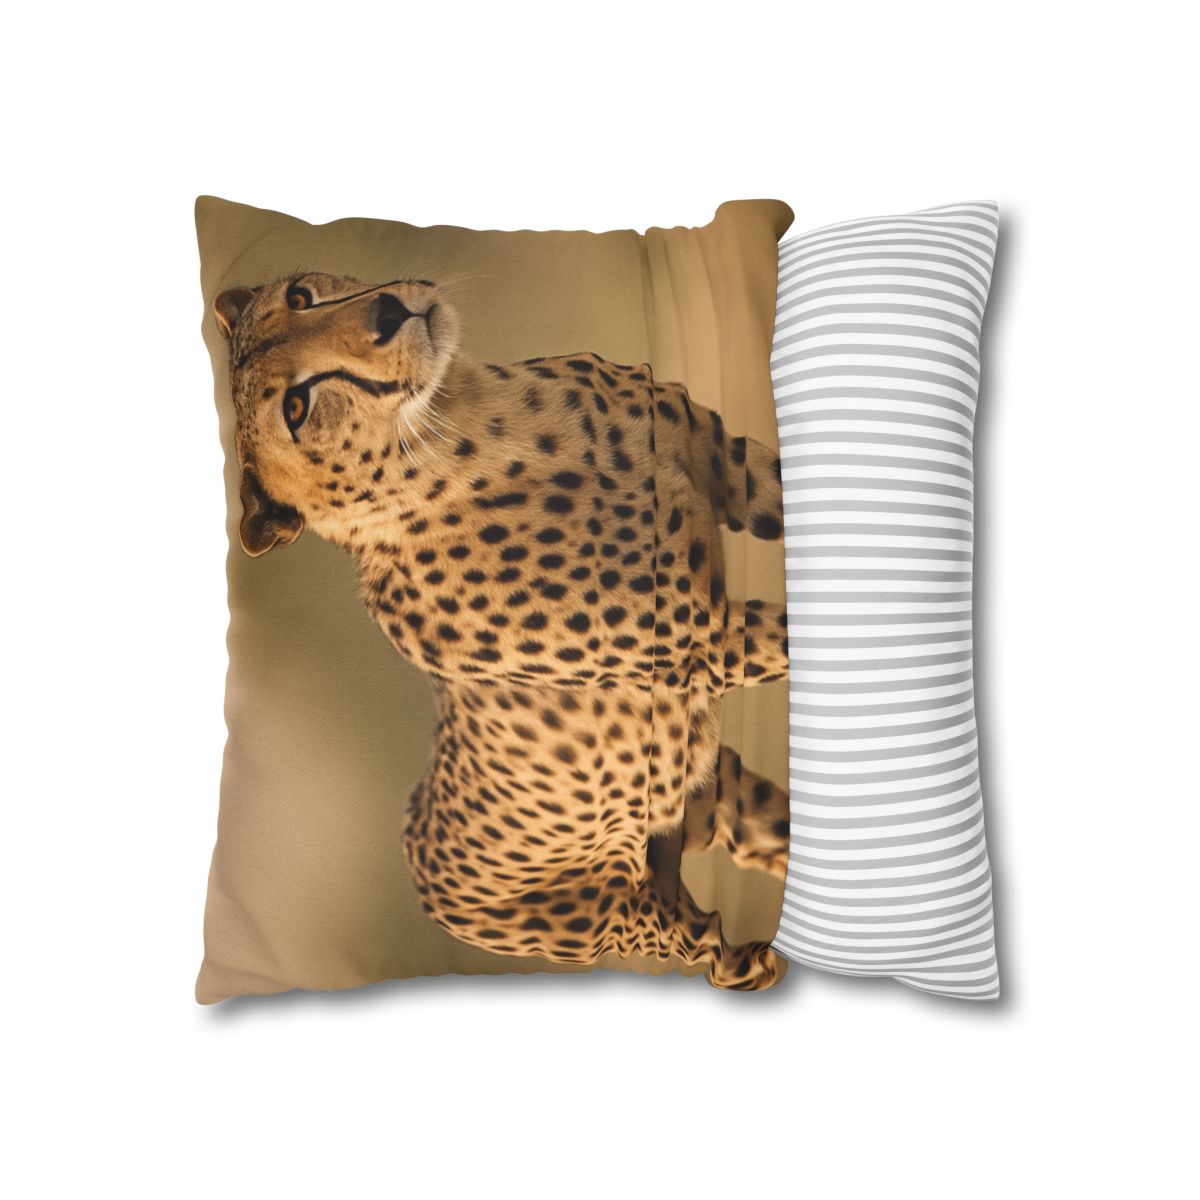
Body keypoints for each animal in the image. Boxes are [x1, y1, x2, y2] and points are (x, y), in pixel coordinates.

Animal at [215, 272, 792, 989]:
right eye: (295, 408)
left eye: (300, 295)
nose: (389, 313)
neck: (465, 419)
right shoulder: (705, 642)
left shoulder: (724, 461)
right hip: (638, 913)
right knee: (712, 951)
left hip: (707, 791)